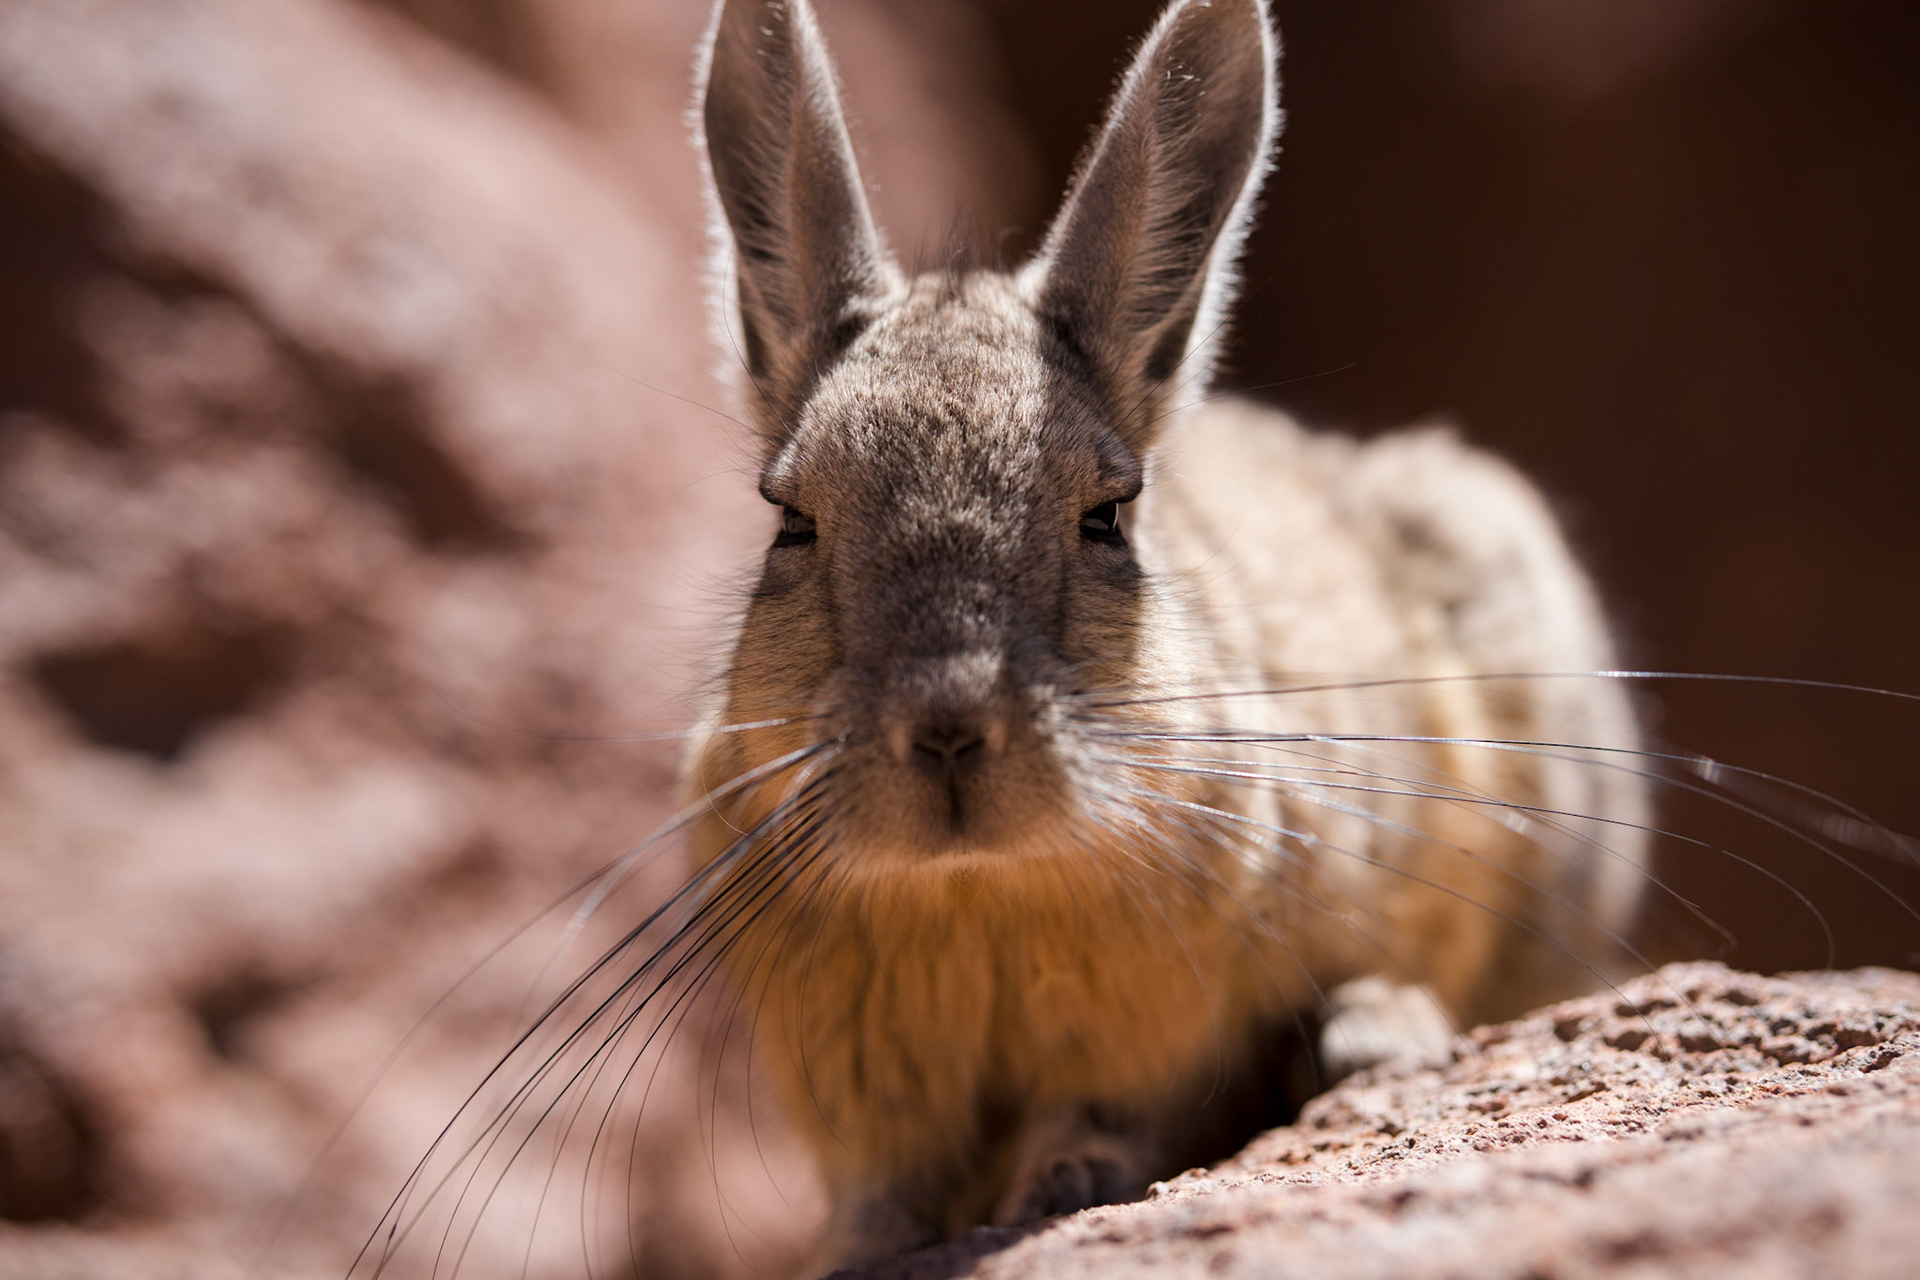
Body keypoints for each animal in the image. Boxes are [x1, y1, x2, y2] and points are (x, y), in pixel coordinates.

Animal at [682, 0, 1650, 1270]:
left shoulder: (1157, 1028)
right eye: (788, 520)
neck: (975, 894)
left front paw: (1063, 1180)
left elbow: (1105, 1113)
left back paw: (1368, 1033)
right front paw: (856, 1248)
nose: (948, 729)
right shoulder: (855, 1082)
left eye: (1107, 515)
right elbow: (881, 1187)